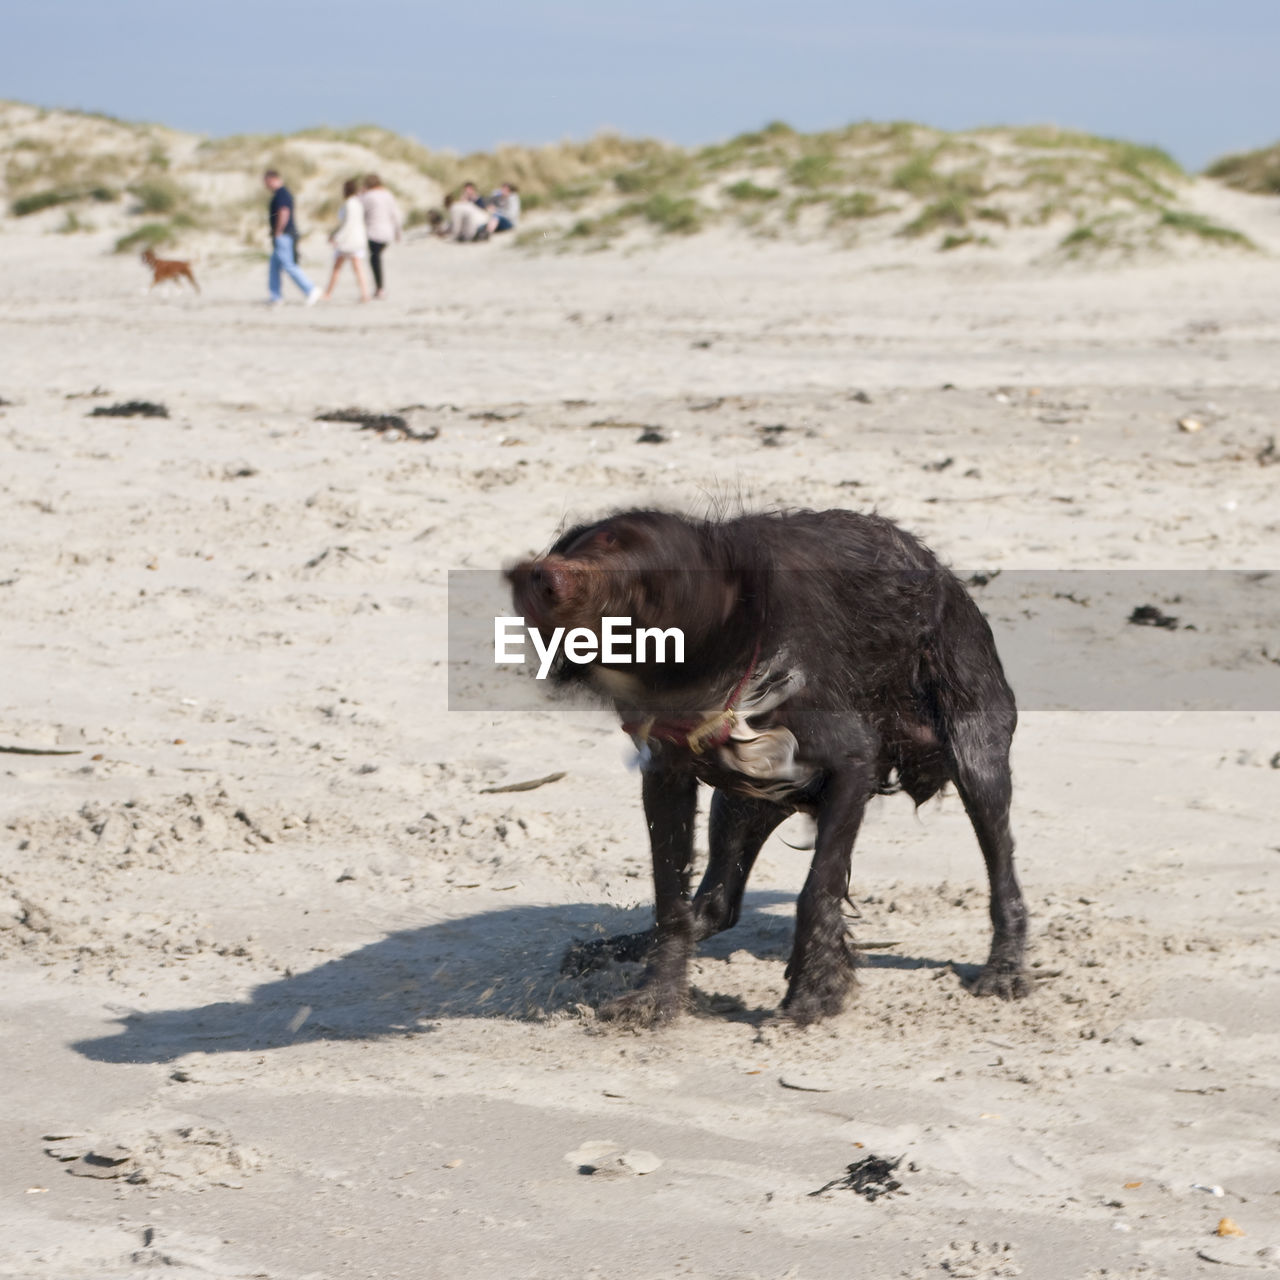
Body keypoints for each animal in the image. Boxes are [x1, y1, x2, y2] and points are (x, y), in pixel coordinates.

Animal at [509, 504, 1029, 1024]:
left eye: (644, 587)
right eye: (595, 543)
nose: (542, 577)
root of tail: (945, 577)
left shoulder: (852, 765)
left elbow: (818, 889)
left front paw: (814, 992)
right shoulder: (667, 778)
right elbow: (672, 900)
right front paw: (656, 994)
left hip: (975, 754)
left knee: (1003, 874)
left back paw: (1004, 968)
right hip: (740, 803)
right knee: (715, 906)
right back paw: (615, 949)